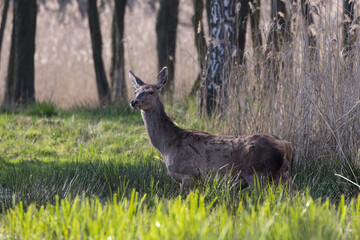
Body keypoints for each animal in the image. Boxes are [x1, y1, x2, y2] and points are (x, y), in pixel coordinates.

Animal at [129, 67, 298, 191]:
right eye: (136, 91)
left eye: (151, 91)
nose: (134, 101)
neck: (166, 144)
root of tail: (286, 145)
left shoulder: (187, 174)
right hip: (283, 175)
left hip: (258, 174)